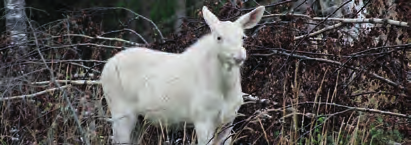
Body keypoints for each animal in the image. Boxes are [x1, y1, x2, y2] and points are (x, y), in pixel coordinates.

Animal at [101, 5, 266, 145]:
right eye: (219, 37)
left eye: (243, 36)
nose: (239, 55)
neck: (225, 89)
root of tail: (105, 68)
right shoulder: (202, 118)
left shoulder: (228, 121)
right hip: (120, 111)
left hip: (140, 120)